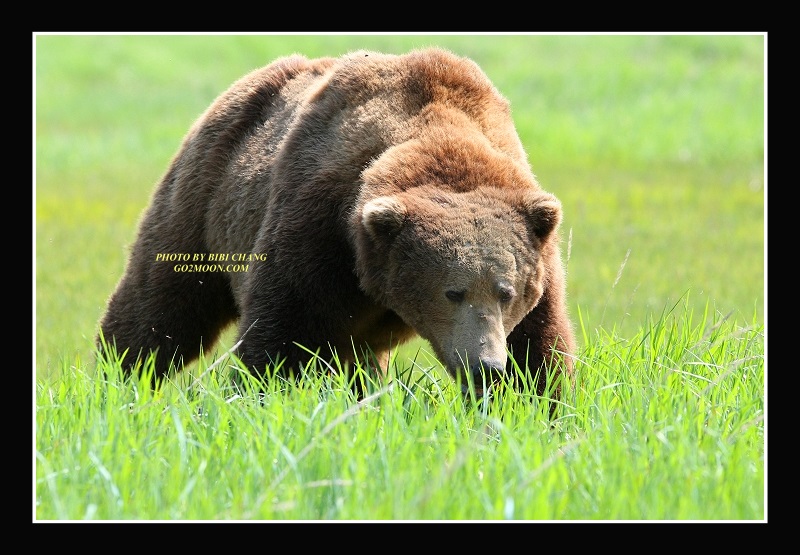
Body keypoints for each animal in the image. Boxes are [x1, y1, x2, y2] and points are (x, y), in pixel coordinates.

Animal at [97, 47, 576, 401]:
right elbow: (284, 335)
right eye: (452, 292)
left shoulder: (539, 250)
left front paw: (532, 406)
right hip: (203, 198)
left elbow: (540, 350)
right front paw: (267, 400)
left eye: (506, 291)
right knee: (163, 305)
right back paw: (119, 380)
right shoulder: (319, 225)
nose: (486, 365)